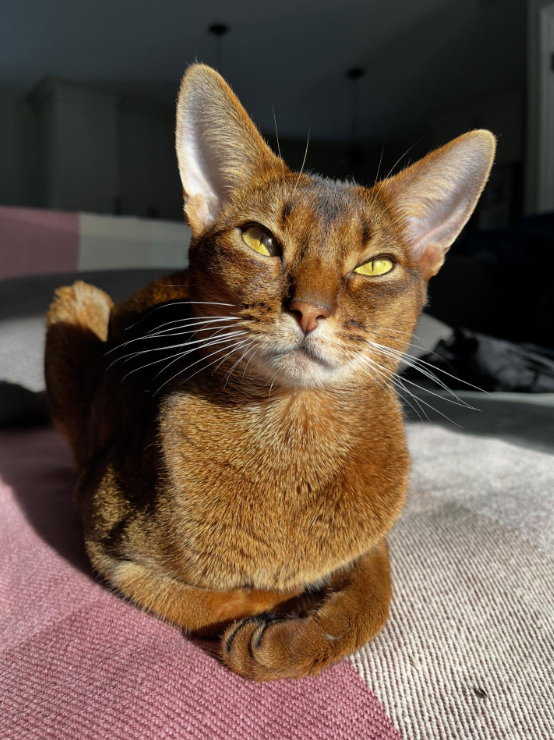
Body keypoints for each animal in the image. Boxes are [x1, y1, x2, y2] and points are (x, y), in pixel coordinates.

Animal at [44, 64, 495, 681]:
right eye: (260, 240)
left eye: (376, 265)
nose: (309, 310)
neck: (293, 430)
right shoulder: (105, 540)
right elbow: (220, 596)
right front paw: (281, 619)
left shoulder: (372, 541)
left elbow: (375, 594)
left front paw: (304, 630)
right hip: (76, 301)